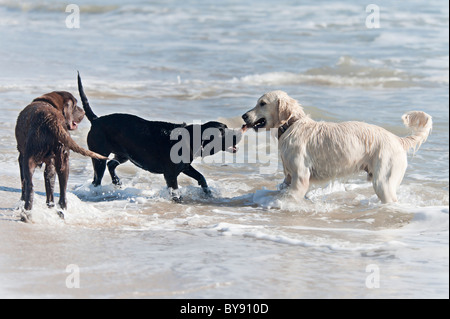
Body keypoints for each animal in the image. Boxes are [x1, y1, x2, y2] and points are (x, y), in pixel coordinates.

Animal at [15, 90, 107, 220]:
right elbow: (50, 182)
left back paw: (26, 213)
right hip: (63, 159)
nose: (83, 112)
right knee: (63, 190)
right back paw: (61, 211)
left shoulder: (21, 157)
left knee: (30, 186)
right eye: (75, 106)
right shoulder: (51, 163)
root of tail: (52, 120)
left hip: (29, 158)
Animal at [76, 74, 243, 201]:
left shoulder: (185, 167)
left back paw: (117, 182)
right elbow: (175, 191)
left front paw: (208, 194)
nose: (240, 132)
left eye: (226, 128)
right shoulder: (170, 174)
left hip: (124, 155)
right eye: (222, 132)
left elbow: (201, 177)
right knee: (97, 179)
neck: (190, 138)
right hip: (99, 157)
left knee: (111, 164)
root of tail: (96, 119)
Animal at [243, 91, 432, 204]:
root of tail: (397, 139)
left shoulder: (300, 177)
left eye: (262, 103)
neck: (291, 125)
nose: (243, 116)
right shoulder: (289, 177)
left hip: (383, 182)